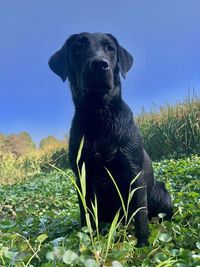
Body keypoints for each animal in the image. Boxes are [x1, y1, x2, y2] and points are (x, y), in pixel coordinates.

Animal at [48, 32, 172, 248]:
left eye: (110, 48)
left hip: (162, 195)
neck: (100, 115)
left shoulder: (134, 176)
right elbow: (86, 217)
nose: (99, 64)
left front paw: (142, 247)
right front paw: (89, 242)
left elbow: (140, 218)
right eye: (78, 48)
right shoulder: (82, 178)